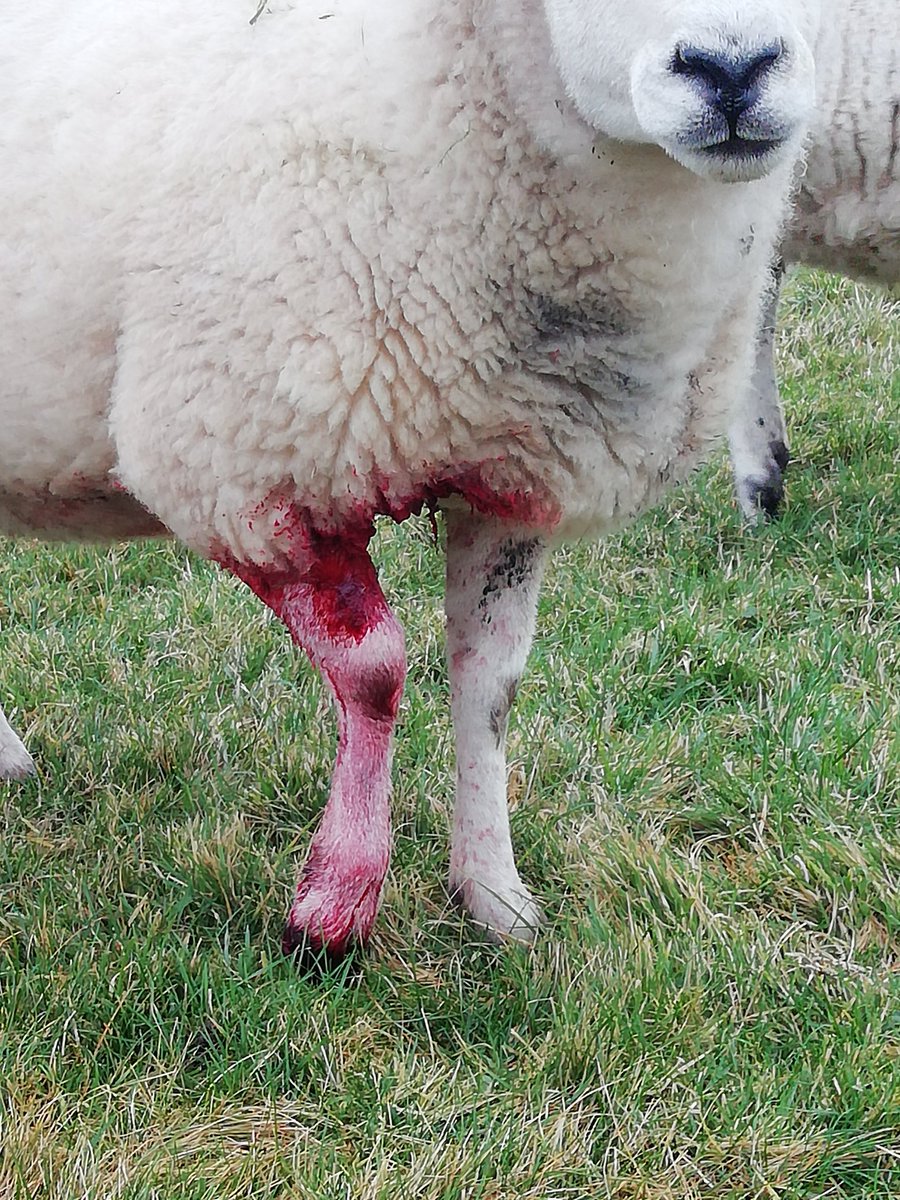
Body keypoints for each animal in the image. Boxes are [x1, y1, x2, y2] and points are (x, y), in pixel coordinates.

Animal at [0, 0, 823, 960]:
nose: (733, 71)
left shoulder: (514, 474)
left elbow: (492, 682)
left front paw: (496, 898)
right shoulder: (247, 468)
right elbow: (374, 672)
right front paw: (334, 908)